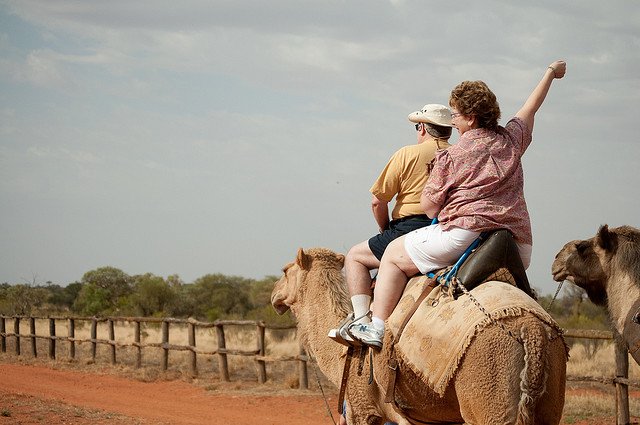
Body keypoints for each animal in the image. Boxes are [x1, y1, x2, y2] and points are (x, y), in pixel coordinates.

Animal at [272, 247, 568, 425]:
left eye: (285, 271)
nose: (274, 295)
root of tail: (531, 327)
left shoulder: (364, 409)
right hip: (549, 394)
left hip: (490, 384)